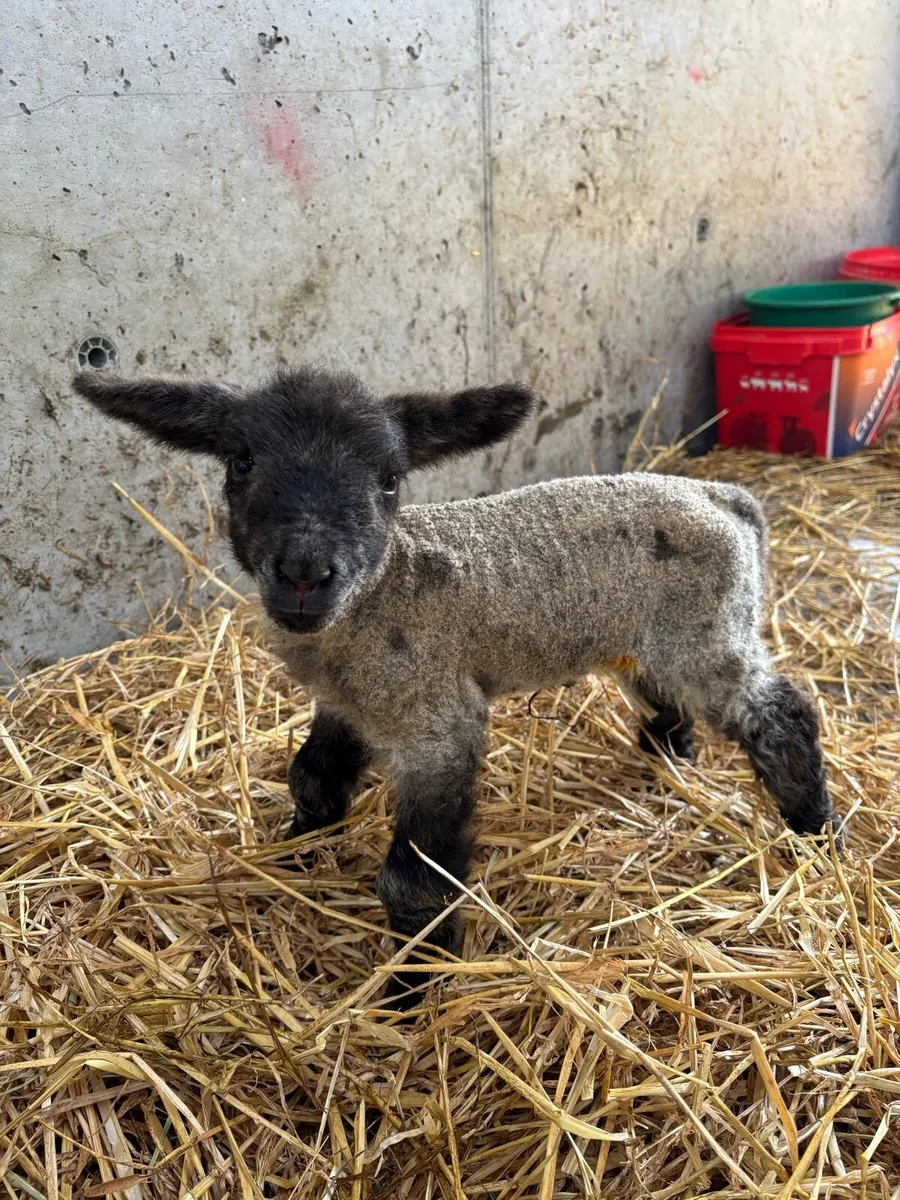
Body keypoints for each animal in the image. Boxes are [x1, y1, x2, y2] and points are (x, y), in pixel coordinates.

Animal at [73, 365, 834, 999]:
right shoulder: (349, 703)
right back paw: (666, 763)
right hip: (644, 641)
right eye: (241, 461)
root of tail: (724, 495)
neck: (386, 591)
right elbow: (311, 777)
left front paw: (411, 989)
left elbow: (413, 881)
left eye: (389, 478)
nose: (305, 573)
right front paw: (294, 853)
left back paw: (813, 828)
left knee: (782, 712)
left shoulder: (438, 723)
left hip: (705, 634)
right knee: (672, 704)